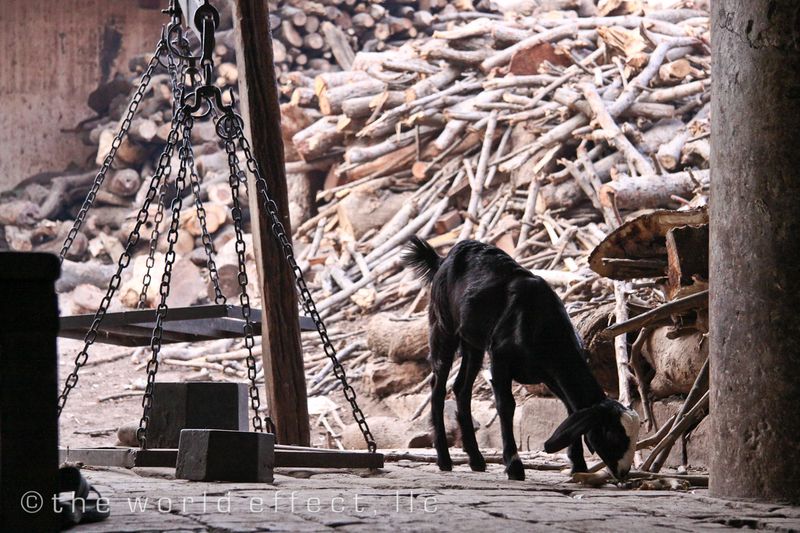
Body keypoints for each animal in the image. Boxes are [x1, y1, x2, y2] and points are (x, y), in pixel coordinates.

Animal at [403, 237, 639, 481]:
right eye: (612, 434)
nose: (623, 473)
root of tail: (443, 259)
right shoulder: (500, 358)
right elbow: (506, 405)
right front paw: (514, 466)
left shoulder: (550, 373)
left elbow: (569, 408)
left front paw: (578, 465)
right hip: (443, 325)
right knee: (438, 387)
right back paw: (444, 459)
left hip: (473, 342)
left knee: (461, 387)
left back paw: (476, 460)